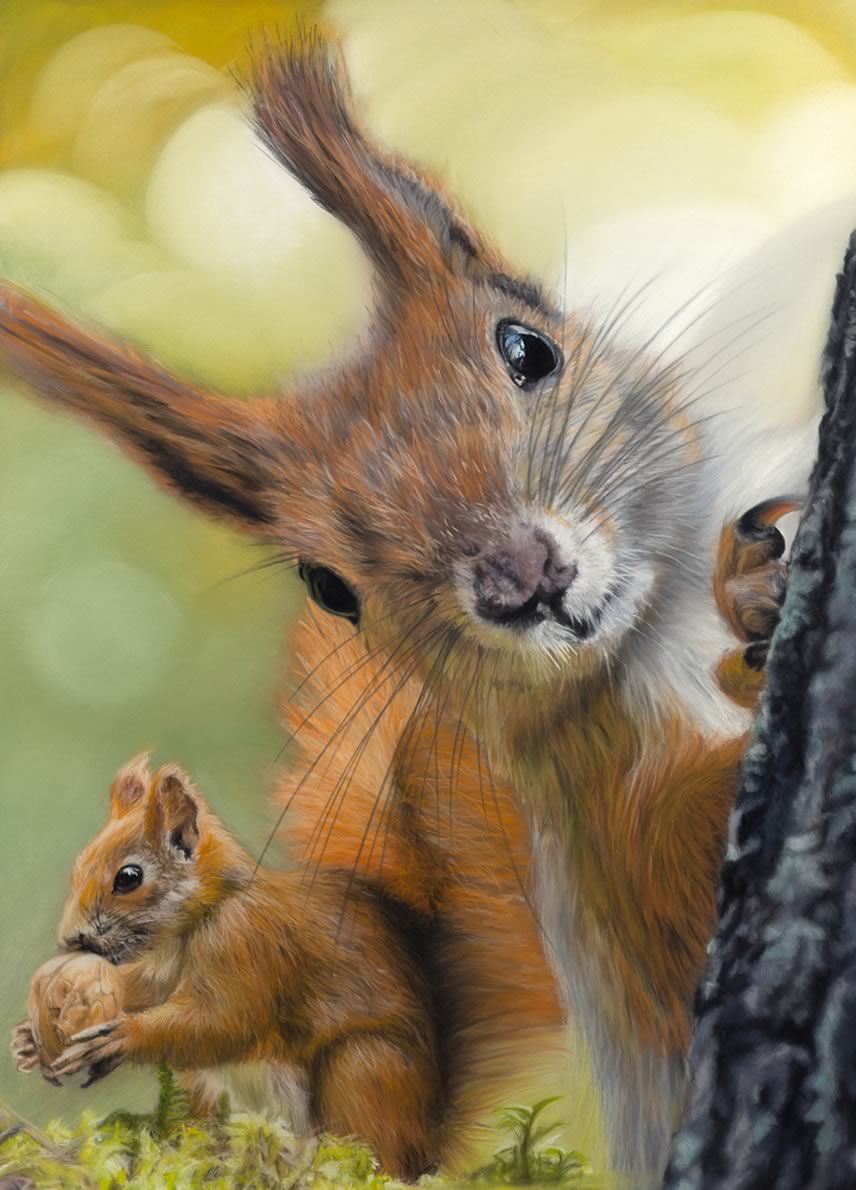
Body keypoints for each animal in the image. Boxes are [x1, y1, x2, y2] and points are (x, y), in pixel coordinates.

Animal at [13, 754, 452, 1181]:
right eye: (80, 863)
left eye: (128, 878)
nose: (70, 939)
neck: (196, 921)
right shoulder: (159, 973)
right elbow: (141, 992)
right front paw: (29, 1040)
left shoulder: (247, 944)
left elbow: (225, 1021)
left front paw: (120, 1038)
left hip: (365, 1070)